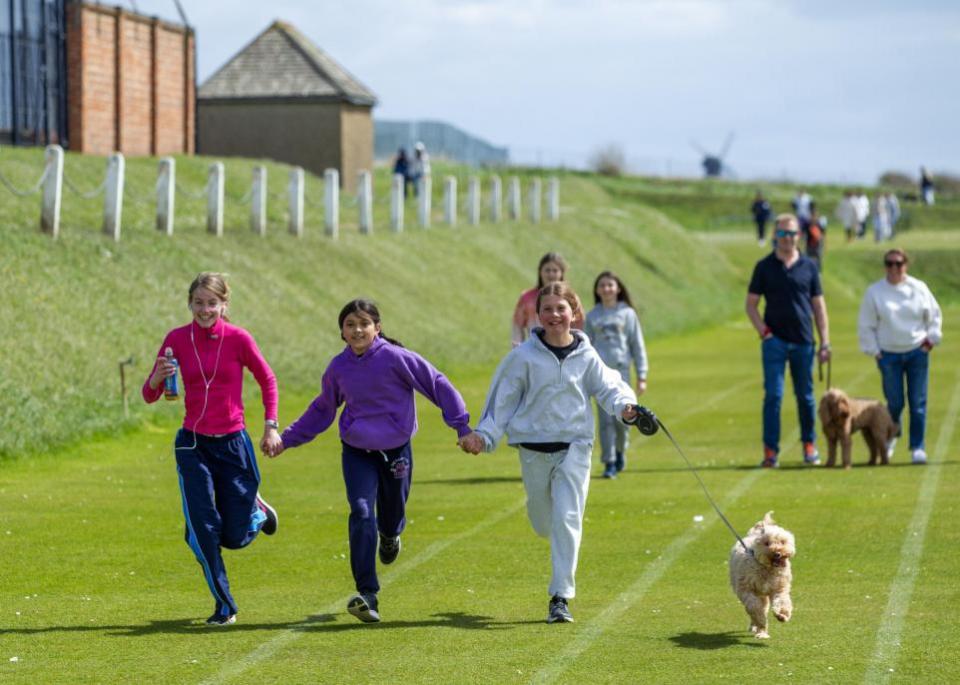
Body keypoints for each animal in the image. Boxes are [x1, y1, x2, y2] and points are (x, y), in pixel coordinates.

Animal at [732, 510, 792, 640]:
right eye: (767, 543)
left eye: (782, 542)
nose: (778, 553)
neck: (766, 568)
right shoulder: (747, 590)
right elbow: (755, 608)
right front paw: (760, 621)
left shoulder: (779, 588)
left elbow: (782, 601)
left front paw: (782, 614)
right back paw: (758, 629)